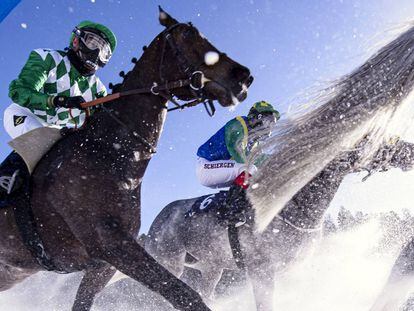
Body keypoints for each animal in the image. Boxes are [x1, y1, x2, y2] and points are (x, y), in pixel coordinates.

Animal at [0, 7, 252, 311]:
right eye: (186, 36)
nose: (243, 77)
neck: (108, 154)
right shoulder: (112, 245)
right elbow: (184, 293)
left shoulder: (103, 264)